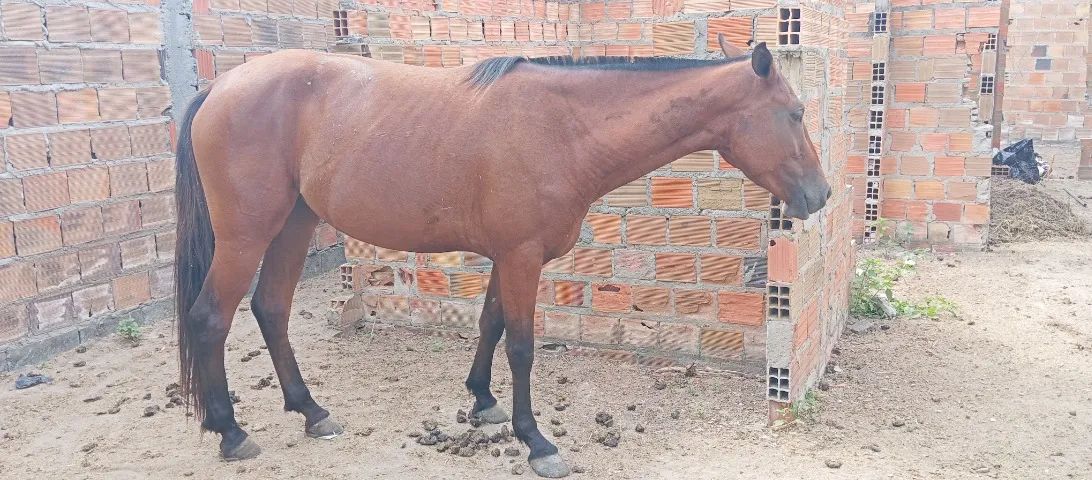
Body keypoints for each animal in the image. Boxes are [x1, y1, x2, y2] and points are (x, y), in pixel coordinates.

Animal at [173, 35, 830, 478]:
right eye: (795, 113)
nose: (820, 196)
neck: (563, 127)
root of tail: (220, 88)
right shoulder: (521, 256)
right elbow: (520, 344)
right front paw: (535, 440)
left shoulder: (506, 255)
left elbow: (489, 324)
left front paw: (483, 402)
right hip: (246, 236)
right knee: (211, 317)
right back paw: (230, 430)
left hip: (294, 224)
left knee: (271, 309)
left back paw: (310, 411)